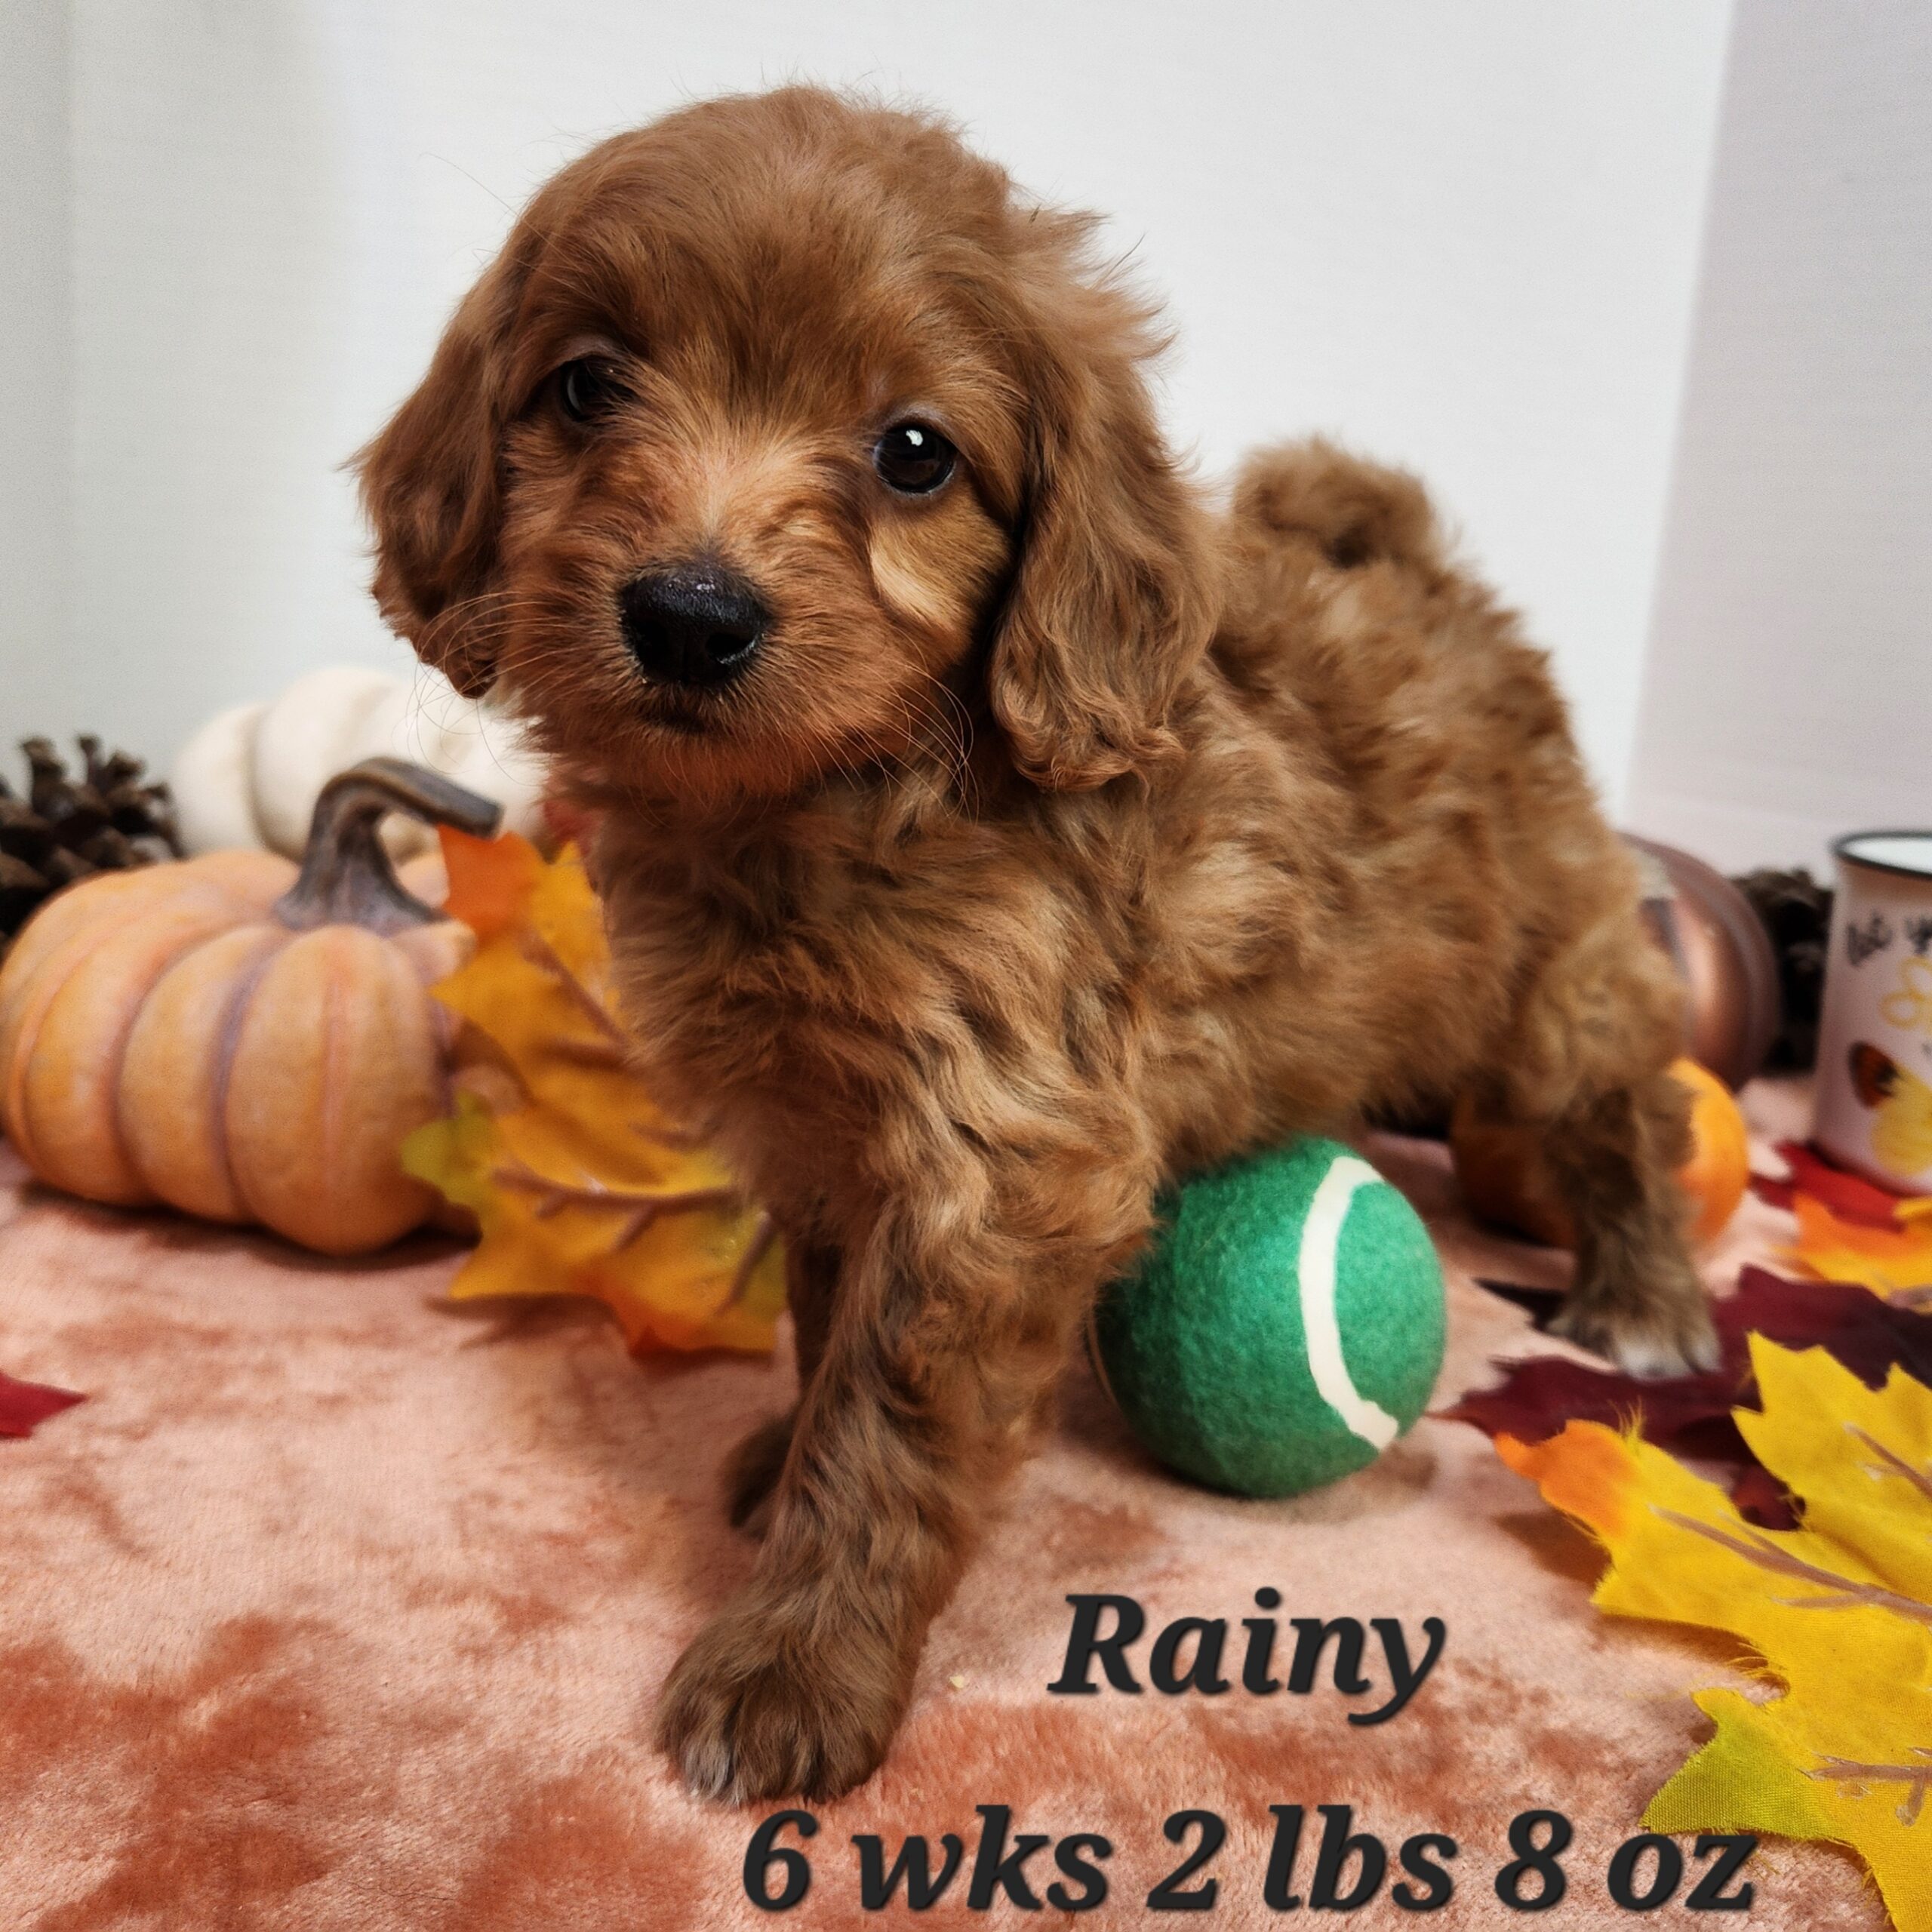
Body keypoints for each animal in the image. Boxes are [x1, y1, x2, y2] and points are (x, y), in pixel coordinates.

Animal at [355, 87, 1715, 1808]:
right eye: (588, 386)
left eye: (914, 454)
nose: (690, 614)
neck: (820, 809)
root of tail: (1424, 569)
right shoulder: (824, 1137)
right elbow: (825, 1331)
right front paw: (782, 1466)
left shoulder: (998, 1156)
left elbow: (889, 1425)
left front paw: (797, 1659)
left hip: (1546, 962)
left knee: (1623, 1097)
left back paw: (1646, 1295)